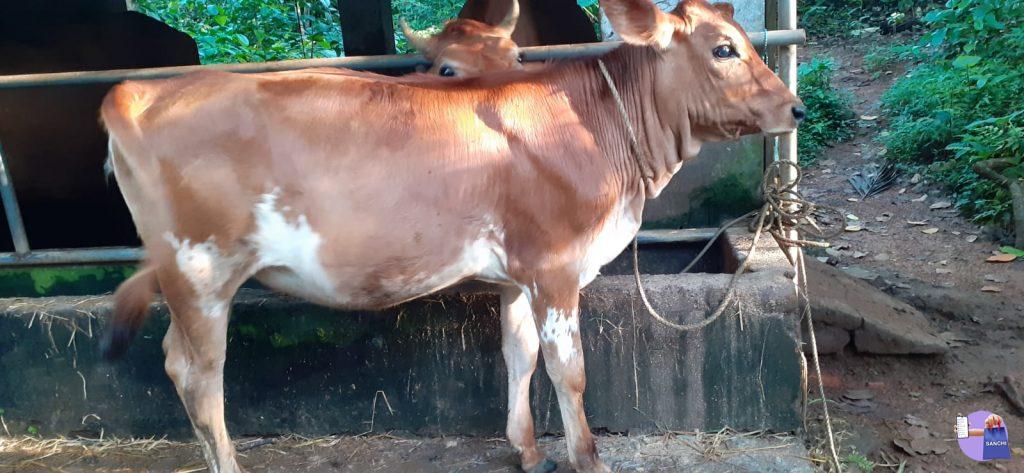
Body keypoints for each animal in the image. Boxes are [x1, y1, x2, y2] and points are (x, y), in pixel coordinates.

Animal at [98, 0, 804, 471]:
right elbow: (569, 372)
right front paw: (588, 459)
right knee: (197, 373)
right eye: (724, 48)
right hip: (200, 270)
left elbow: (519, 356)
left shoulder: (518, 272)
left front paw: (527, 451)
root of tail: (136, 92)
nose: (795, 107)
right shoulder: (555, 266)